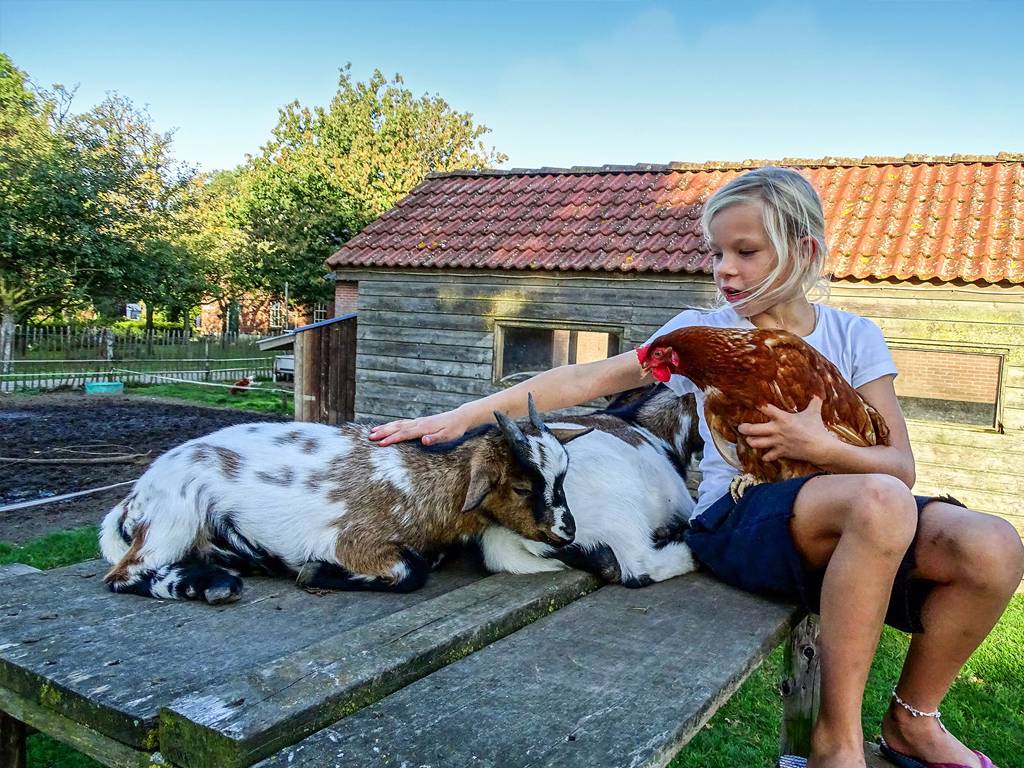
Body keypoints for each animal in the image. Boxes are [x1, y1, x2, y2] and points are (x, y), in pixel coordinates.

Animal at [102, 399, 589, 606]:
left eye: (563, 478)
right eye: (522, 487)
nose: (567, 533)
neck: (420, 482)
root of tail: (133, 498)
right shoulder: (354, 541)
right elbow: (410, 571)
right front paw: (315, 572)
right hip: (175, 516)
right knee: (124, 575)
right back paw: (213, 584)